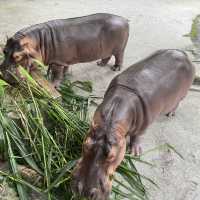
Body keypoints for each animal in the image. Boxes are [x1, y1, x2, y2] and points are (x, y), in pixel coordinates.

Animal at [0, 13, 129, 86]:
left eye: (17, 56)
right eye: (4, 50)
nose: (2, 75)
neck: (38, 43)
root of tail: (124, 19)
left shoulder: (58, 62)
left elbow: (56, 74)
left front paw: (54, 84)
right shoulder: (64, 60)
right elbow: (65, 68)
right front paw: (66, 75)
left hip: (120, 48)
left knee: (119, 57)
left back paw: (115, 69)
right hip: (106, 49)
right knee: (107, 56)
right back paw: (100, 64)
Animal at [72, 48, 195, 200]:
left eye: (112, 155)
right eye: (86, 144)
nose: (83, 190)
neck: (110, 124)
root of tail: (183, 54)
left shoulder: (143, 125)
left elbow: (137, 136)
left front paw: (135, 152)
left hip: (181, 95)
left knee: (176, 103)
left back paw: (170, 114)